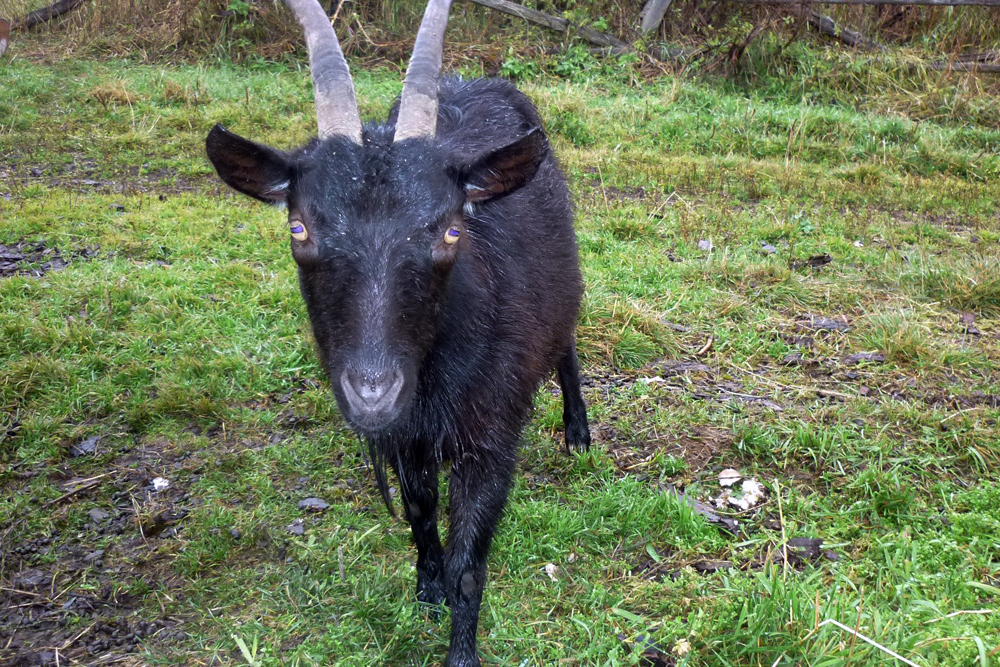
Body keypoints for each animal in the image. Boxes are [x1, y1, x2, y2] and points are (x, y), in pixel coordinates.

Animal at [207, 0, 588, 664]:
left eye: (452, 230)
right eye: (299, 227)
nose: (373, 392)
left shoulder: (490, 438)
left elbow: (471, 563)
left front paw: (461, 649)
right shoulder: (407, 439)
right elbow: (419, 510)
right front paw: (426, 588)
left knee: (565, 336)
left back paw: (578, 430)